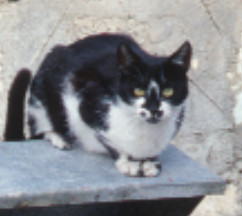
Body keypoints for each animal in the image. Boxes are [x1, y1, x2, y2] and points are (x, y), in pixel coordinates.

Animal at [4, 33, 192, 176]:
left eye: (168, 91)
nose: (153, 109)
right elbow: (108, 139)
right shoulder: (80, 95)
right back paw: (58, 137)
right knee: (41, 125)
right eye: (138, 90)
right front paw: (126, 162)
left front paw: (151, 162)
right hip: (44, 82)